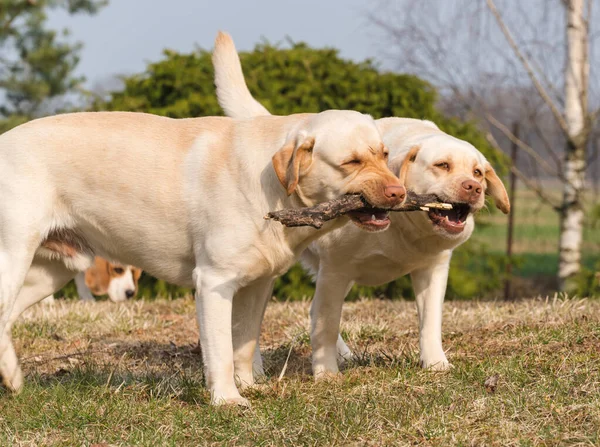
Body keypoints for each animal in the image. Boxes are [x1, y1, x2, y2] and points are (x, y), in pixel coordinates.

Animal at [0, 55, 406, 406]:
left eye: (385, 154)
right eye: (350, 162)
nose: (399, 193)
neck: (271, 190)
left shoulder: (258, 285)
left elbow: (244, 344)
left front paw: (248, 387)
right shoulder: (213, 282)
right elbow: (221, 350)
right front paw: (227, 401)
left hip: (53, 270)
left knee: (5, 320)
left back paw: (13, 380)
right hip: (14, 257)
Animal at [213, 33, 508, 378]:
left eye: (477, 172)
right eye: (442, 165)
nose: (474, 188)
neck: (405, 230)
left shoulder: (433, 270)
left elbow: (430, 324)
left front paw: (437, 364)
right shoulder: (335, 270)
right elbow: (325, 325)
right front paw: (325, 374)